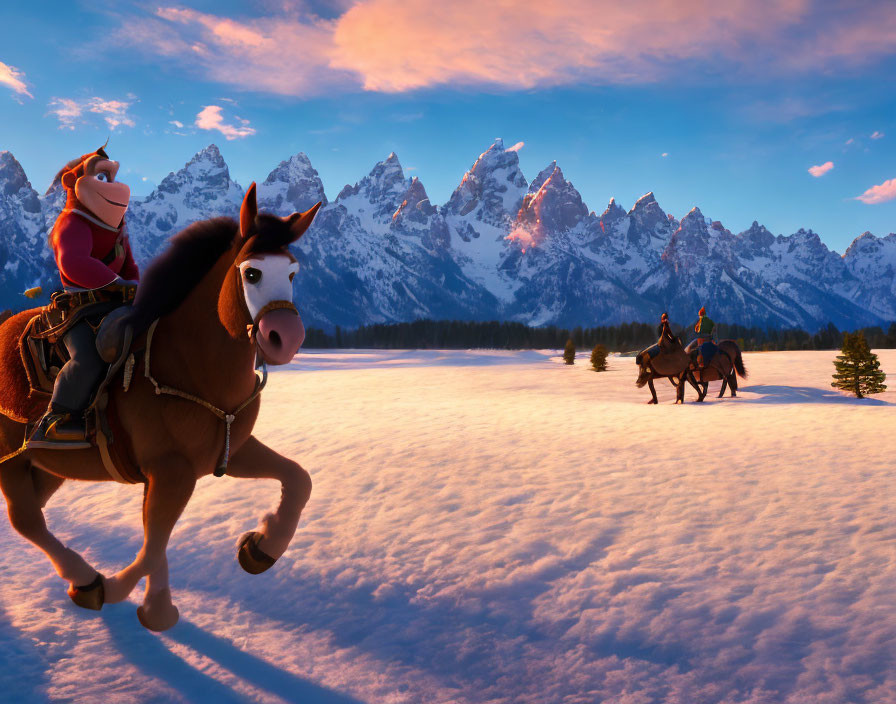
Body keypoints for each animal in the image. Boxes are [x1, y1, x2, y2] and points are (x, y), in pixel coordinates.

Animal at [0, 183, 322, 632]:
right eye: (252, 273)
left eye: (292, 273)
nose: (286, 338)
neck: (189, 366)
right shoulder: (171, 471)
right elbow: (154, 542)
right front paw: (133, 597)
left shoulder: (227, 452)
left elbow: (298, 479)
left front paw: (260, 549)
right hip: (9, 459)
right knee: (26, 519)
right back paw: (87, 580)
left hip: (47, 465)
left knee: (34, 512)